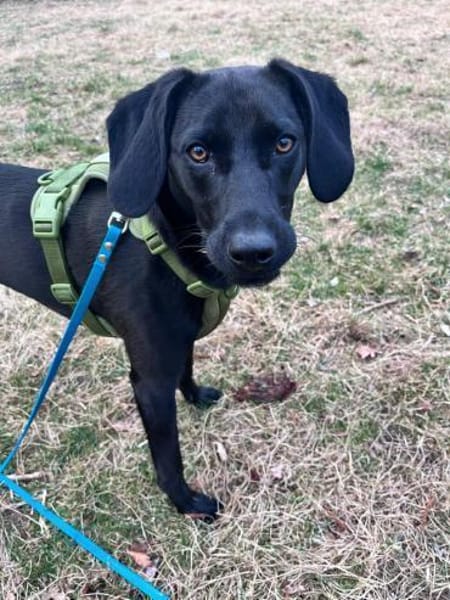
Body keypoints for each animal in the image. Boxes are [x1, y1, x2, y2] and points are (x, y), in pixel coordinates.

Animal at [0, 59, 354, 518]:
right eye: (197, 152)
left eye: (284, 144)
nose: (253, 252)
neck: (165, 242)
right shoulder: (149, 382)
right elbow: (168, 456)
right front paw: (186, 502)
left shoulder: (180, 336)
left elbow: (186, 365)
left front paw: (194, 394)